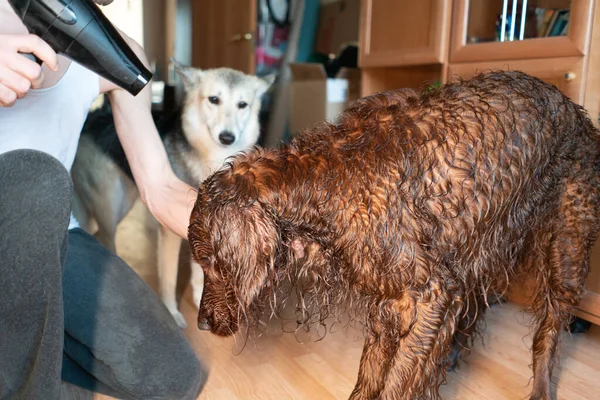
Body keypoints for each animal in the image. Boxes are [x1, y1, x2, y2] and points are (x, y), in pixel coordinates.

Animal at [71, 61, 276, 326]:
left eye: (243, 105)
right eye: (214, 99)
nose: (227, 137)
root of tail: (93, 116)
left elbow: (201, 273)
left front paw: (202, 300)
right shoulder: (170, 233)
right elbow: (169, 278)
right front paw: (171, 312)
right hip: (109, 207)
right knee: (106, 238)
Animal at [188, 72, 600, 400]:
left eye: (211, 262)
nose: (201, 324)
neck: (324, 181)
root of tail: (572, 106)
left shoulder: (430, 295)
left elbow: (398, 381)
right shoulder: (391, 302)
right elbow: (371, 375)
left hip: (566, 250)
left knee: (549, 332)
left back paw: (540, 389)